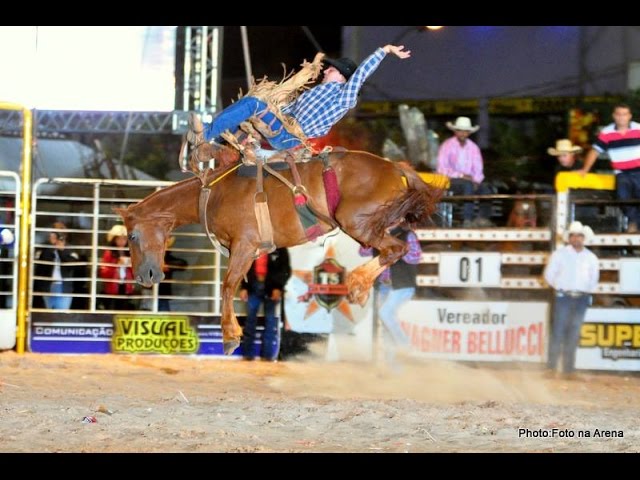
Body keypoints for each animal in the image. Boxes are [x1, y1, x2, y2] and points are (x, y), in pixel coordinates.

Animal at [116, 152, 444, 354]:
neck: (211, 192)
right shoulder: (246, 251)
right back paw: (361, 288)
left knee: (396, 248)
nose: (143, 277)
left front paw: (230, 337)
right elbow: (236, 286)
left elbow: (228, 285)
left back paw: (356, 285)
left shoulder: (244, 245)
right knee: (391, 250)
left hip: (356, 222)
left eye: (132, 235)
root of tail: (395, 166)